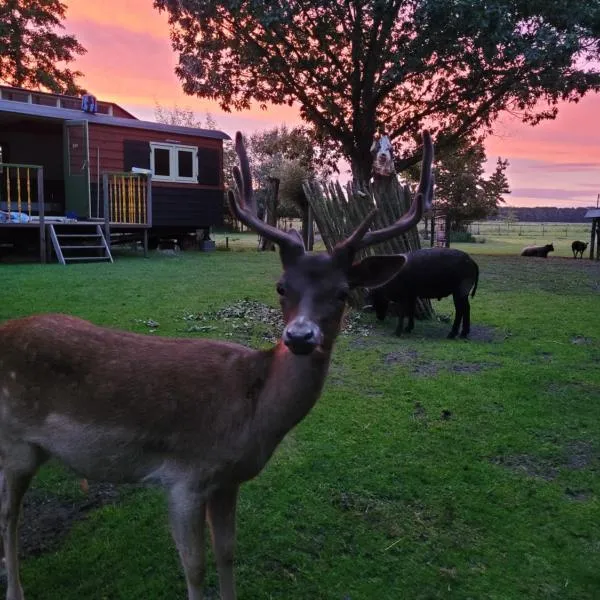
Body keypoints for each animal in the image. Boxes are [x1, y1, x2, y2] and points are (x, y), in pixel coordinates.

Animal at [0, 129, 434, 596]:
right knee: (10, 514)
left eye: (342, 293)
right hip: (16, 440)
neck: (250, 416)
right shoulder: (184, 476)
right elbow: (195, 567)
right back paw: (15, 588)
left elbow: (227, 553)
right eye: (281, 286)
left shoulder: (228, 481)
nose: (300, 337)